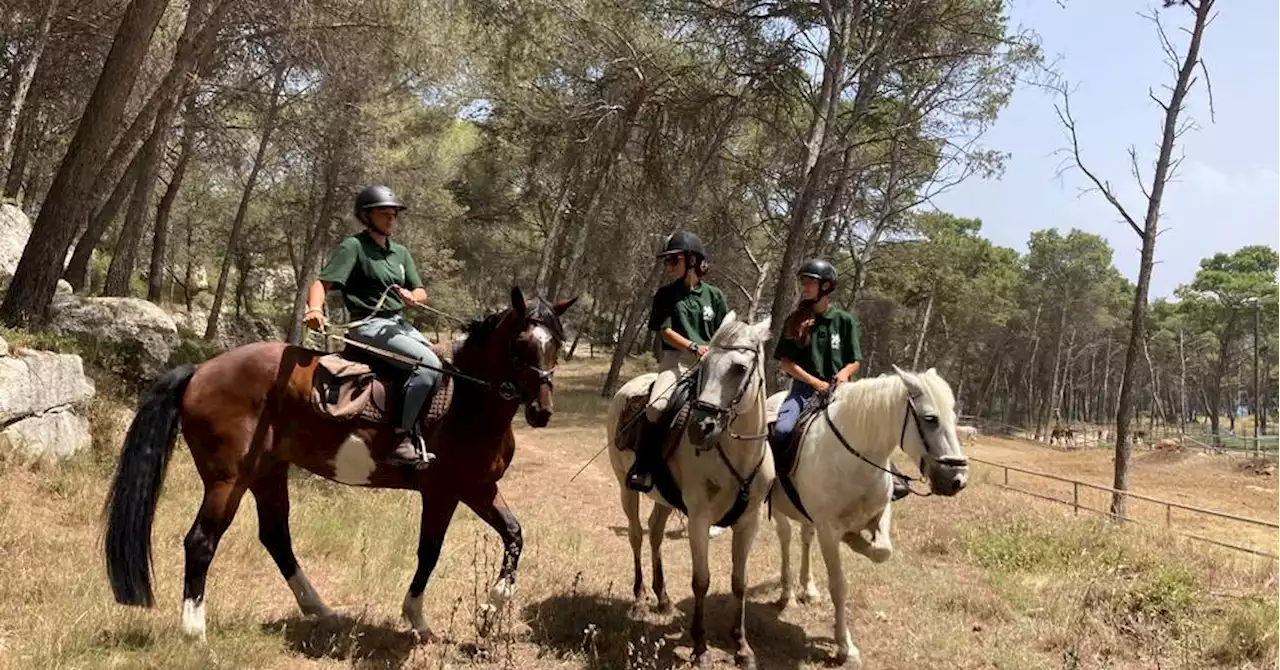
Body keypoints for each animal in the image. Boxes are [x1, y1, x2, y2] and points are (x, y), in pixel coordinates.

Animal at [102, 289, 578, 645]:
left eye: (555, 343)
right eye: (520, 344)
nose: (541, 411)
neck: (466, 399)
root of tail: (202, 369)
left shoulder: (478, 489)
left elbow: (514, 535)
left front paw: (491, 608)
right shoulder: (443, 493)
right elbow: (429, 552)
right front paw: (417, 619)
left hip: (268, 472)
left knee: (276, 537)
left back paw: (320, 609)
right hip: (228, 479)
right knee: (201, 542)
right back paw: (194, 630)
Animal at [606, 315, 773, 670]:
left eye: (739, 368)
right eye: (705, 365)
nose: (700, 427)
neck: (737, 454)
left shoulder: (749, 522)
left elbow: (740, 582)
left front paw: (742, 647)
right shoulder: (699, 519)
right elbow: (702, 581)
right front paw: (700, 647)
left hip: (665, 499)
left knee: (655, 532)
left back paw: (663, 598)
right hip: (626, 488)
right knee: (637, 535)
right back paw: (640, 598)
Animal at [757, 366, 967, 666]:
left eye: (953, 417)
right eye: (930, 419)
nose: (957, 480)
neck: (855, 459)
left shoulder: (882, 512)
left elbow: (882, 551)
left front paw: (857, 540)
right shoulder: (828, 530)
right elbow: (839, 585)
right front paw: (845, 647)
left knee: (805, 538)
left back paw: (809, 589)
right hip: (780, 510)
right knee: (785, 539)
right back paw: (787, 593)